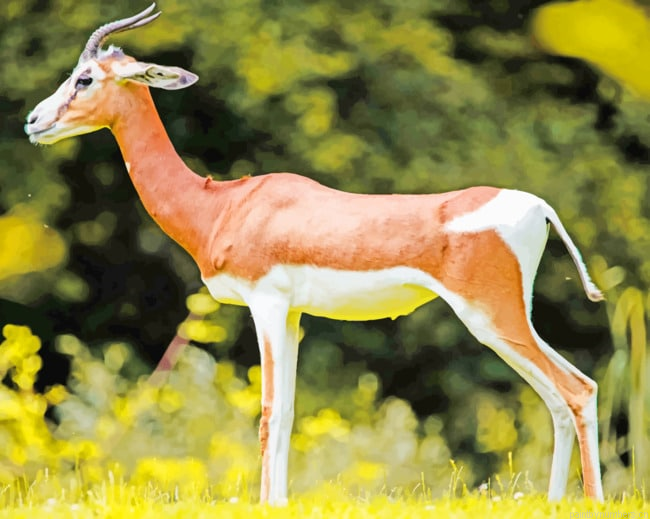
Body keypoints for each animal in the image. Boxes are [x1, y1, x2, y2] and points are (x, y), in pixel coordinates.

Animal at [25, 3, 605, 504]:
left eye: (84, 79)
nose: (33, 121)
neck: (223, 205)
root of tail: (537, 205)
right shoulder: (294, 314)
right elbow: (286, 413)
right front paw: (279, 502)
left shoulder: (266, 305)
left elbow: (267, 413)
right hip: (511, 318)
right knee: (563, 397)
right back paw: (554, 502)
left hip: (491, 318)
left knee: (575, 389)